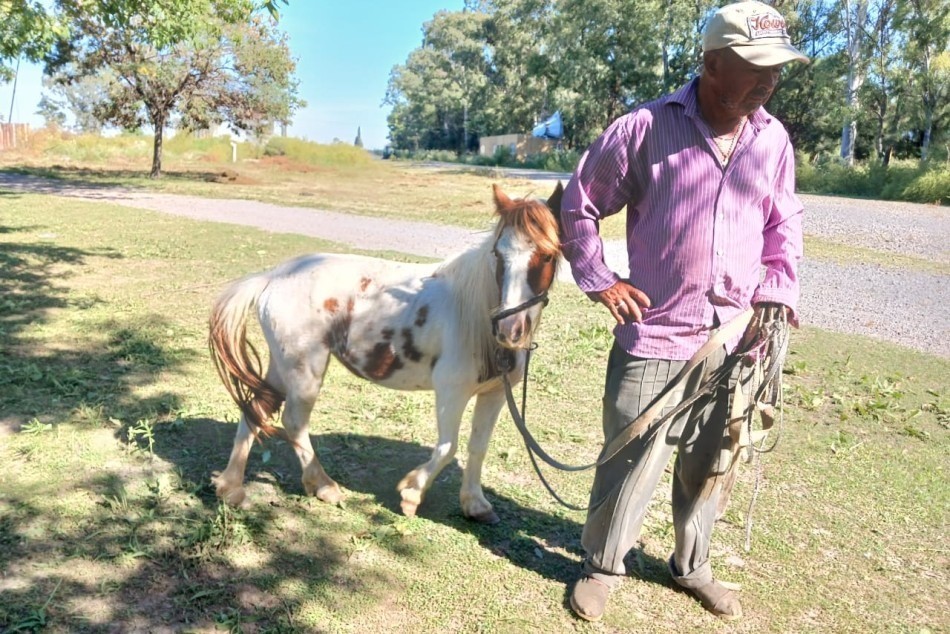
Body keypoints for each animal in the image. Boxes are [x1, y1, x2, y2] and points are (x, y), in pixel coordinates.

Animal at [208, 182, 563, 524]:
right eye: (498, 254)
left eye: (547, 256)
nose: (510, 329)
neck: (474, 313)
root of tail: (272, 278)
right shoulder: (452, 391)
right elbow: (447, 447)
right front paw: (411, 493)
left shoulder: (494, 394)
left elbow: (478, 447)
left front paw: (475, 504)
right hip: (305, 369)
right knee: (294, 422)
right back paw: (323, 485)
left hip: (282, 367)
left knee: (256, 409)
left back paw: (232, 488)